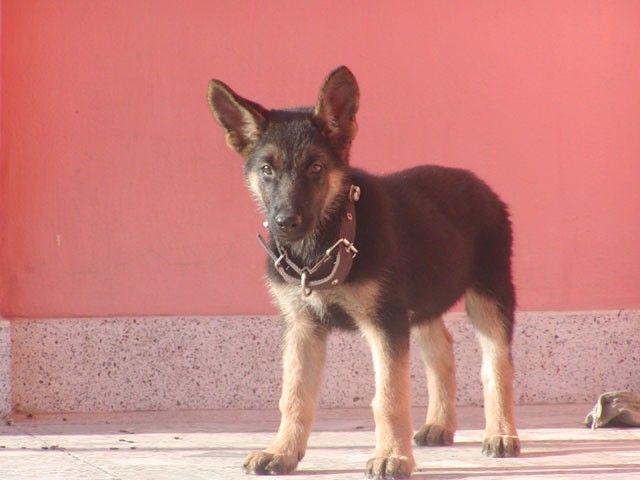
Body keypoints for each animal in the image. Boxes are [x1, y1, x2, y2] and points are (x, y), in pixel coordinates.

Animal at [207, 66, 520, 479]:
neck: (327, 240)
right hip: (422, 302)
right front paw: (282, 452)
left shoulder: (385, 322)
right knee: (441, 352)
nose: (285, 223)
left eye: (316, 168)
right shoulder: (302, 326)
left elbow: (389, 398)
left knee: (496, 365)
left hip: (489, 296)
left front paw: (392, 457)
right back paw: (440, 424)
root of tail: (482, 186)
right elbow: (294, 396)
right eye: (267, 170)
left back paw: (500, 434)